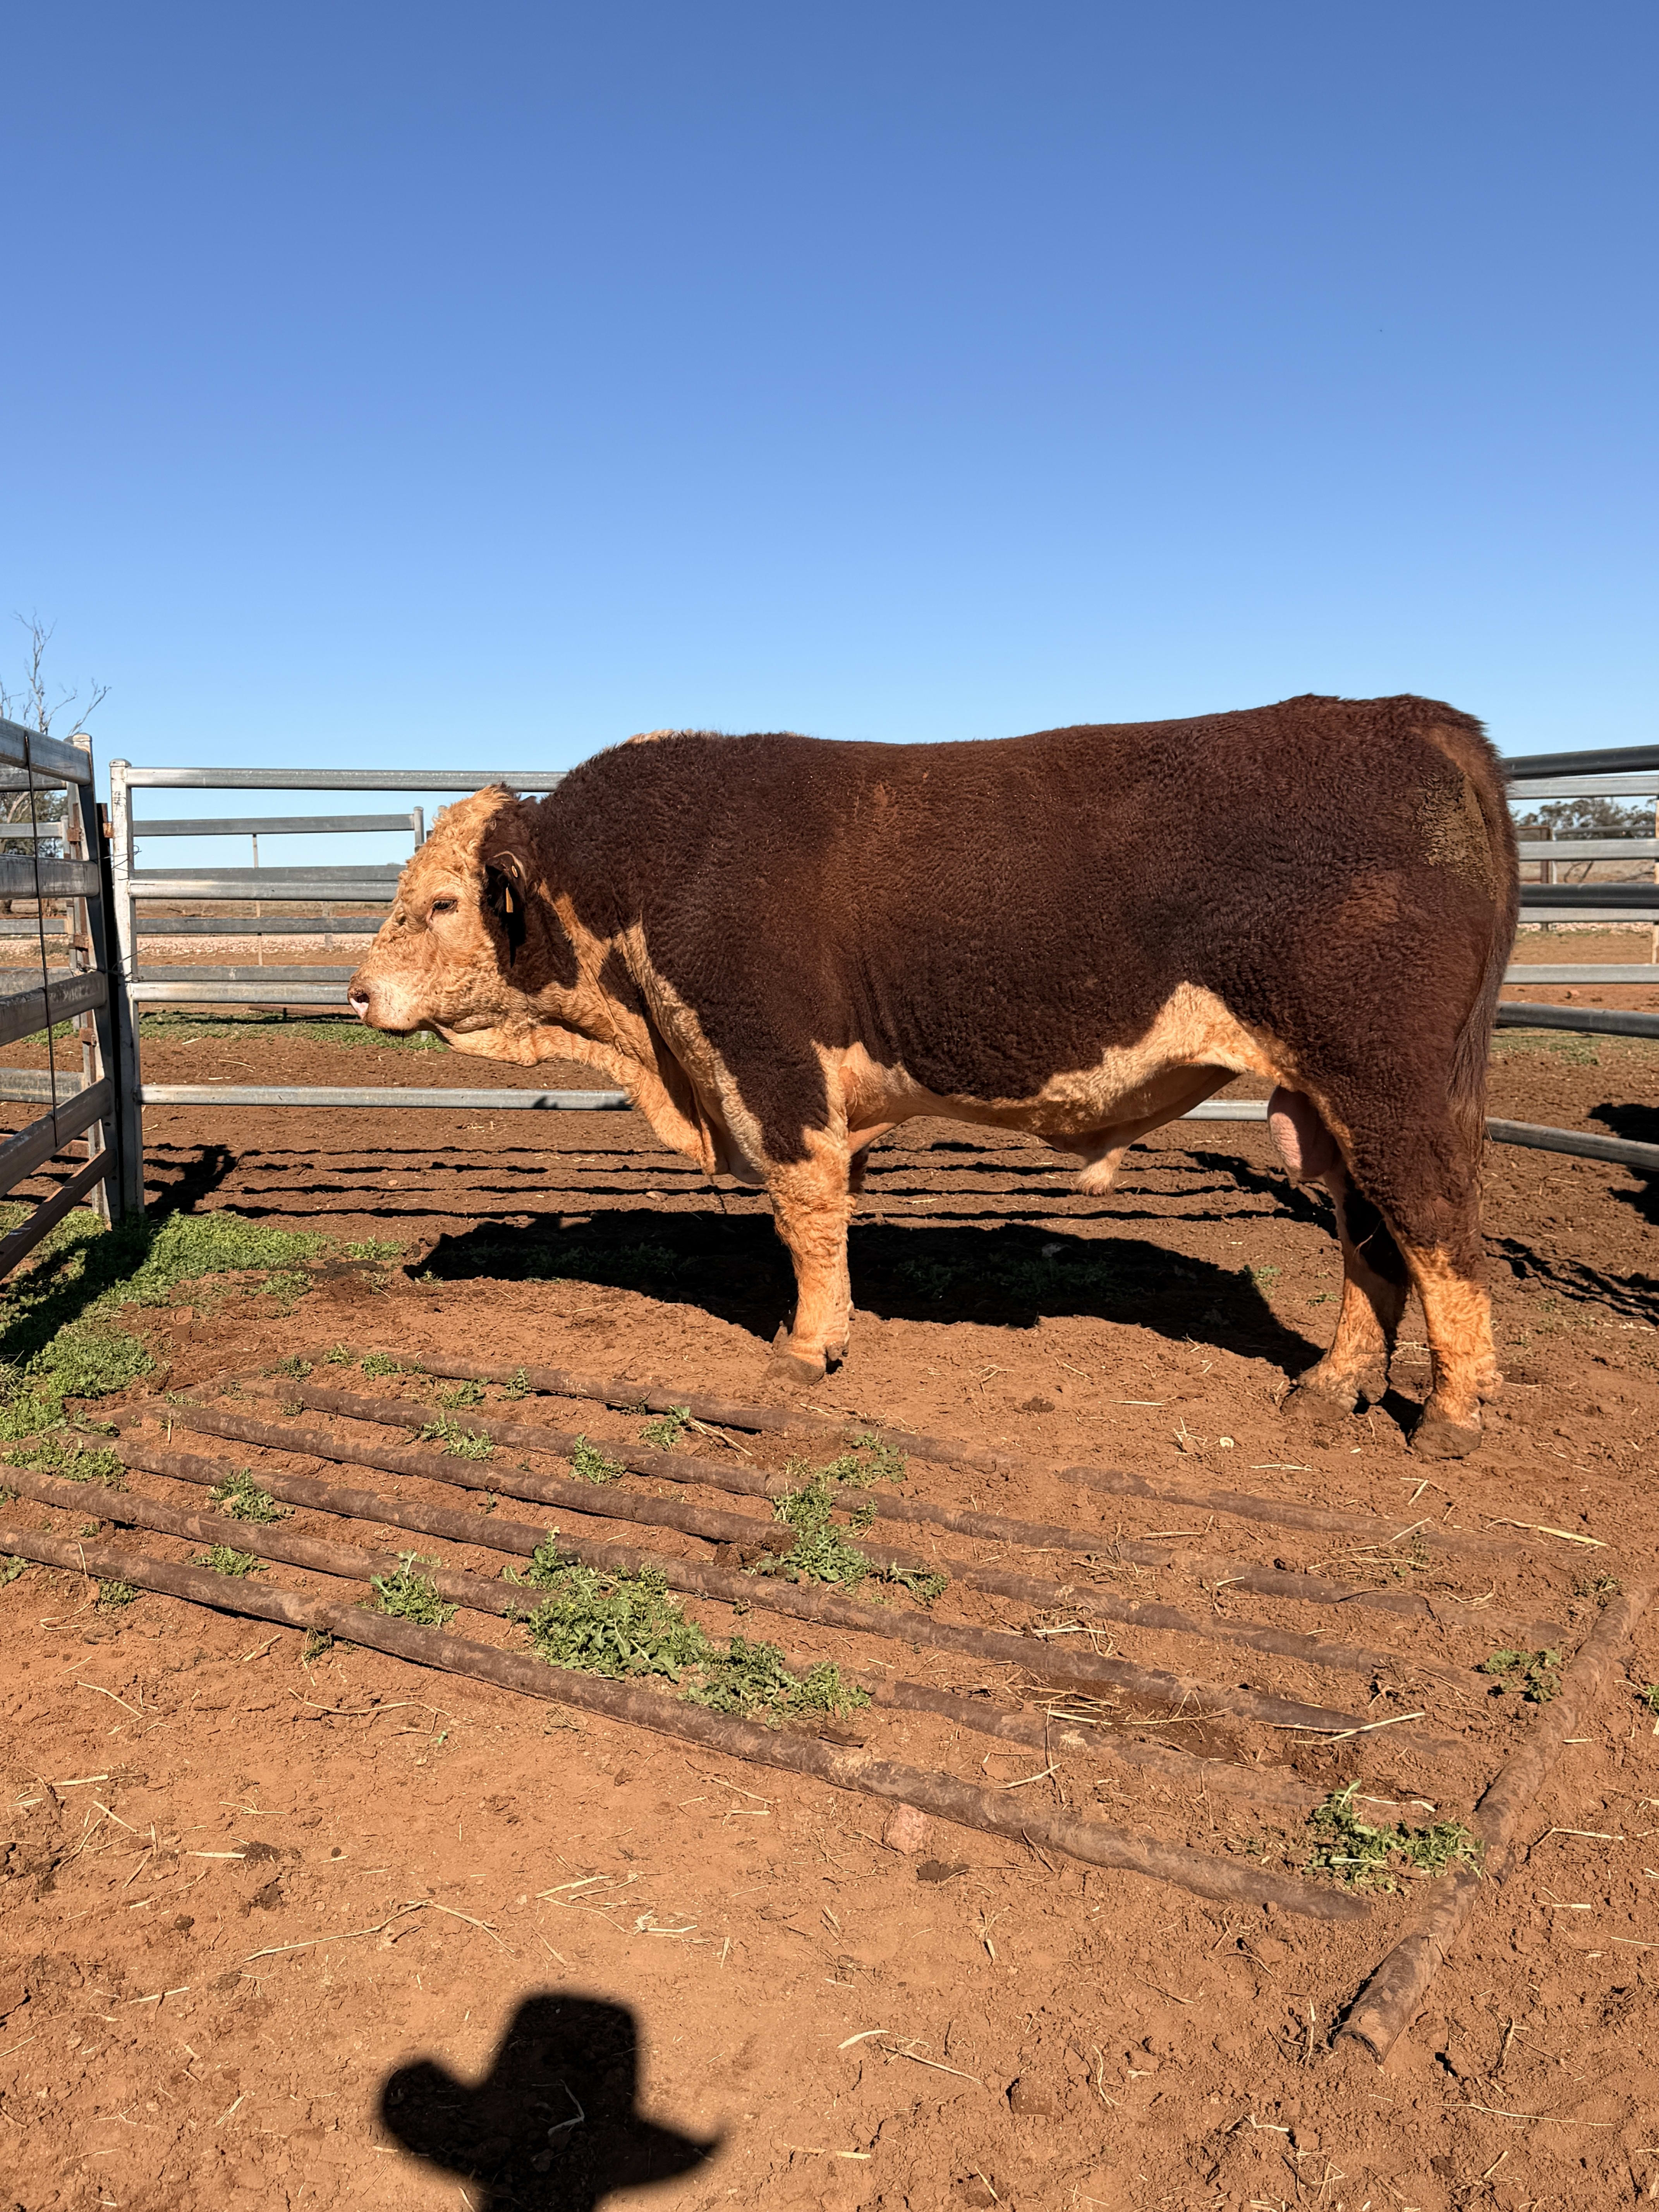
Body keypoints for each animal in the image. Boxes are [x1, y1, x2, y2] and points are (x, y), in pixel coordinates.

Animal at [348, 695, 1519, 1459]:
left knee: (1433, 1227)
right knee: (1371, 1239)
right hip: (1330, 1100)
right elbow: (830, 1209)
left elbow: (803, 1208)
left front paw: (804, 1349)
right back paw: (1331, 1387)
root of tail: (1423, 722)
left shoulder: (769, 1063)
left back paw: (1453, 1416)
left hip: (1388, 1086)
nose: (357, 991)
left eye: (442, 903)